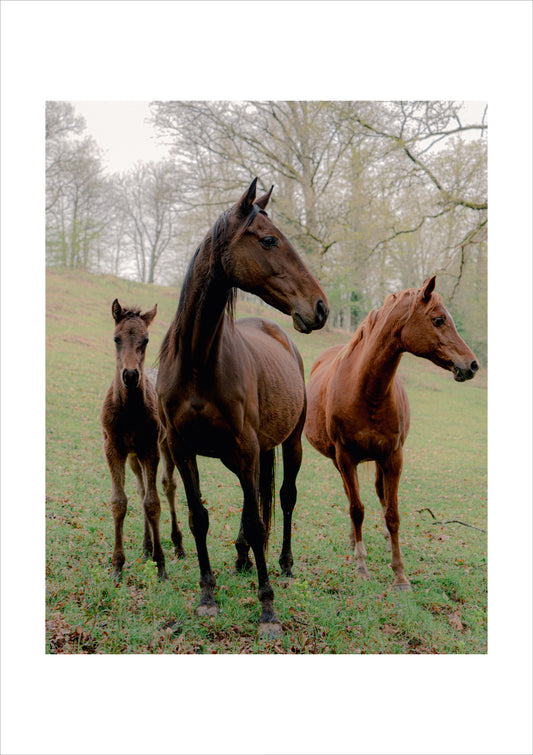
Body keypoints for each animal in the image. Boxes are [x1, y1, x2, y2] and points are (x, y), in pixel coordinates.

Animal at [101, 299, 185, 583]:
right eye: (116, 338)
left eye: (146, 340)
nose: (130, 375)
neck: (128, 410)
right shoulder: (113, 448)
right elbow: (120, 502)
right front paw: (117, 566)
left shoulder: (150, 448)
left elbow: (153, 503)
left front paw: (161, 566)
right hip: (133, 456)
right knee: (141, 488)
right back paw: (147, 546)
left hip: (166, 446)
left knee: (167, 485)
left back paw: (177, 545)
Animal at [157, 178, 328, 635]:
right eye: (269, 240)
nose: (320, 307)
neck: (199, 362)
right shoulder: (182, 449)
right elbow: (199, 517)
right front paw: (207, 596)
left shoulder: (245, 447)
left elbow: (256, 519)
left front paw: (267, 609)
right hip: (247, 454)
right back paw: (241, 557)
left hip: (286, 445)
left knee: (283, 499)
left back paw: (281, 563)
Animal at [304, 275, 478, 591]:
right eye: (438, 319)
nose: (472, 365)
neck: (366, 389)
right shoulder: (345, 457)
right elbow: (357, 508)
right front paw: (361, 566)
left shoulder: (393, 457)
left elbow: (392, 513)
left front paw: (399, 574)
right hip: (340, 460)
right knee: (351, 496)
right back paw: (354, 543)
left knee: (377, 493)